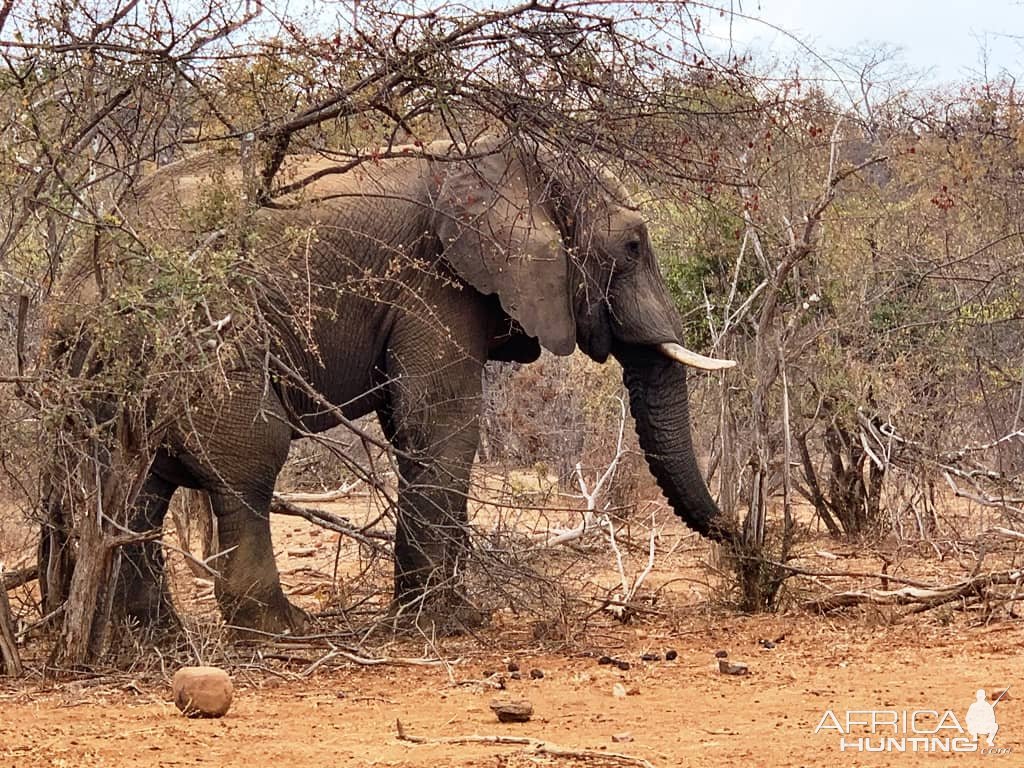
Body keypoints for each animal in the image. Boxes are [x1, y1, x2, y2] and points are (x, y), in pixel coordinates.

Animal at [39, 134, 737, 638]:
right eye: (632, 246)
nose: (743, 542)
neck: (500, 157)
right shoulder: (435, 281)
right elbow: (441, 423)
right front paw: (449, 625)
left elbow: (412, 429)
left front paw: (433, 617)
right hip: (198, 336)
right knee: (248, 458)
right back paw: (278, 631)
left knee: (136, 484)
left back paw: (148, 639)